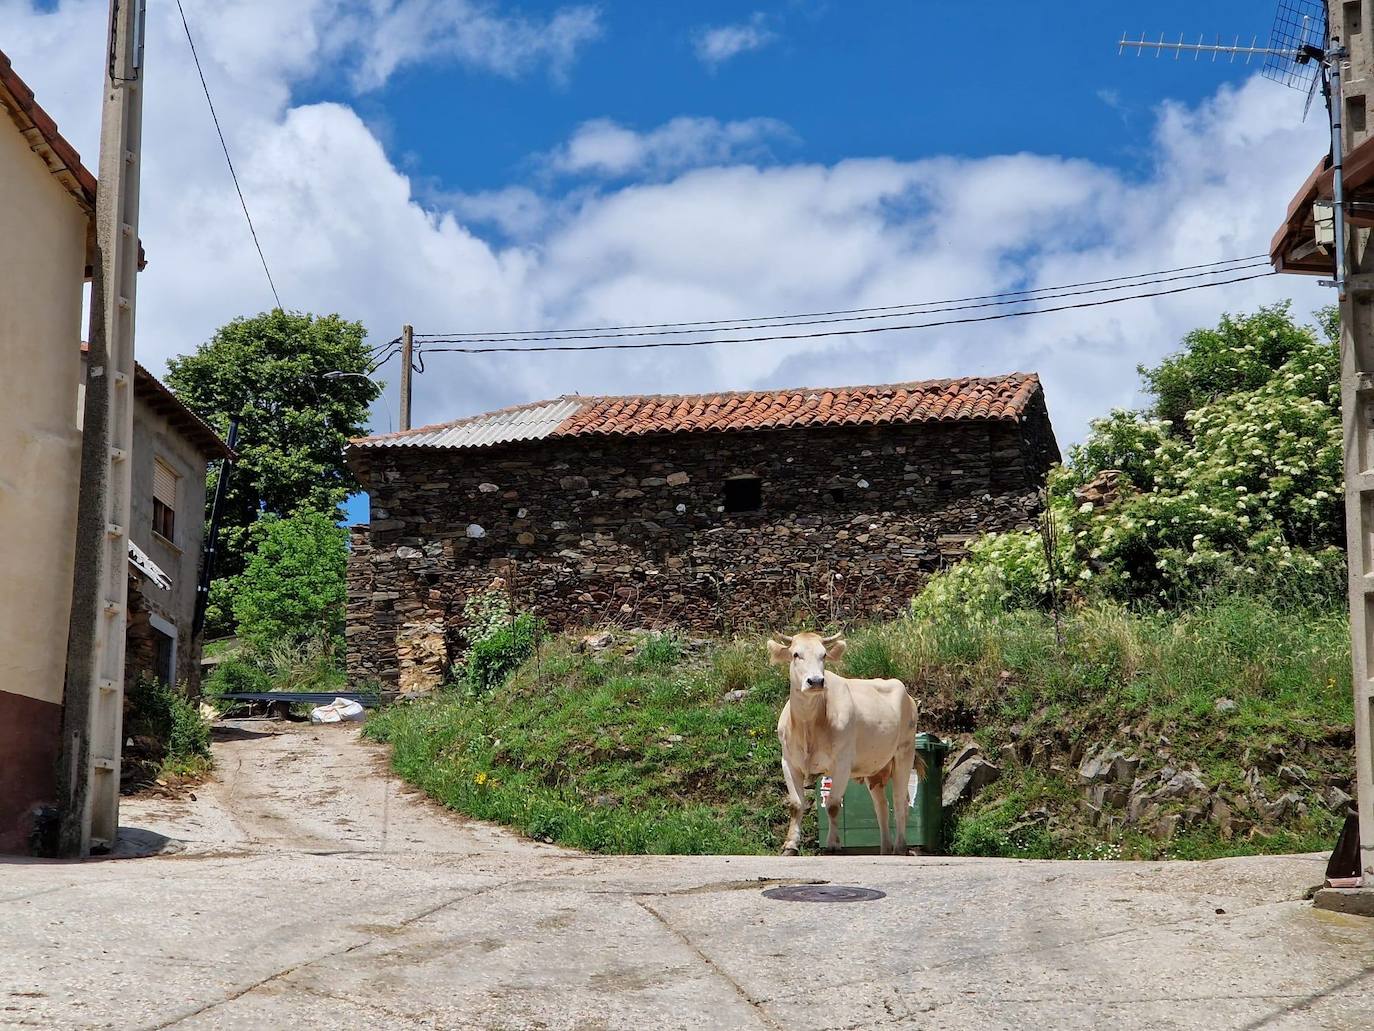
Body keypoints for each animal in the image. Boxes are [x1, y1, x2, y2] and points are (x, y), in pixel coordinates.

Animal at [769, 635, 928, 857]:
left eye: (823, 655)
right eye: (795, 654)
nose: (816, 681)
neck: (809, 725)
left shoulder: (842, 764)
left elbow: (833, 805)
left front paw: (834, 845)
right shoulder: (789, 762)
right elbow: (796, 804)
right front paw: (790, 845)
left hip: (905, 753)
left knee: (899, 802)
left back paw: (899, 848)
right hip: (875, 770)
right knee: (881, 806)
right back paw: (885, 849)